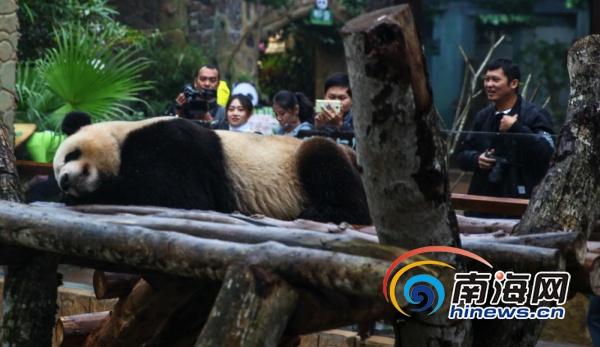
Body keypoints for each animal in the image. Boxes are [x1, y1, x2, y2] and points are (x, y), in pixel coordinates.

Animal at [54, 114, 370, 226]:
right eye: (57, 175)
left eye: (72, 153)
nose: (65, 180)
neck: (122, 136)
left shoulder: (175, 143)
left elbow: (178, 193)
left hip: (305, 157)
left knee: (323, 159)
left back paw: (323, 211)